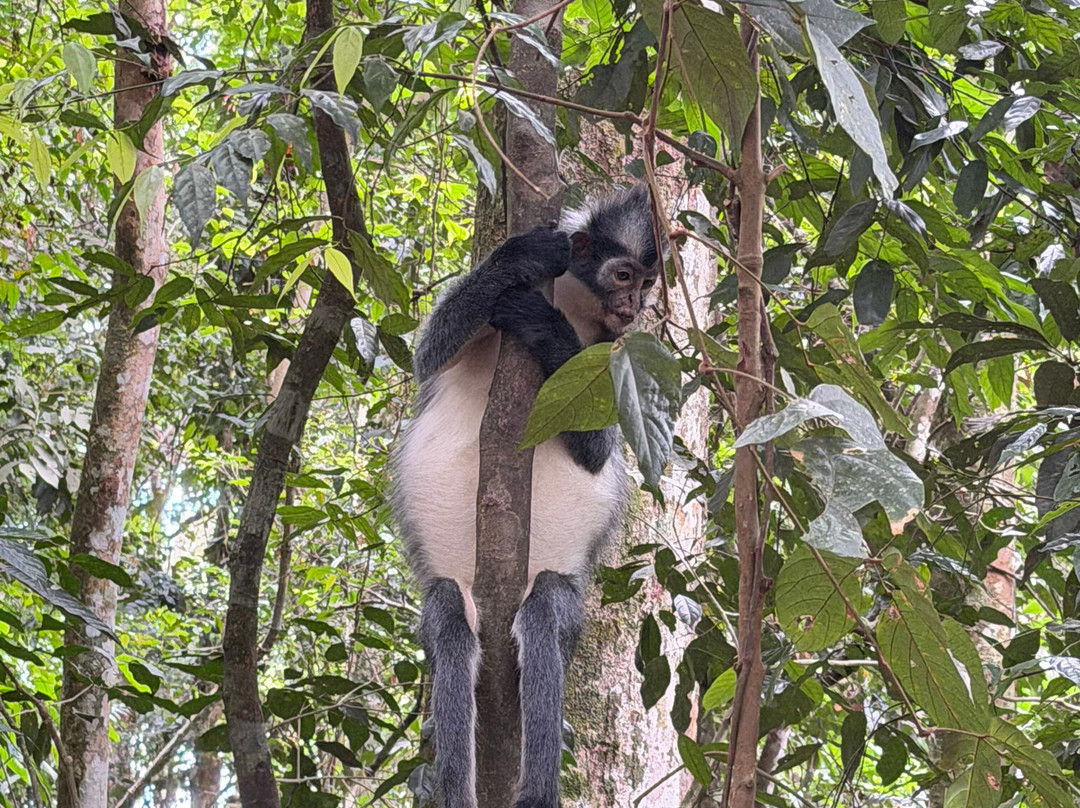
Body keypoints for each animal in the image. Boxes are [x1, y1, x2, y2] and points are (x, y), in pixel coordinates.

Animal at [392, 184, 661, 808]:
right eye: (623, 275)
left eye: (646, 285)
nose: (634, 306)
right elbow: (427, 356)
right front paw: (518, 258)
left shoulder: (615, 349)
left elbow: (598, 452)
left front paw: (540, 320)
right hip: (456, 596)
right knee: (449, 618)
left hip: (556, 601)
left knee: (543, 613)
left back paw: (537, 790)